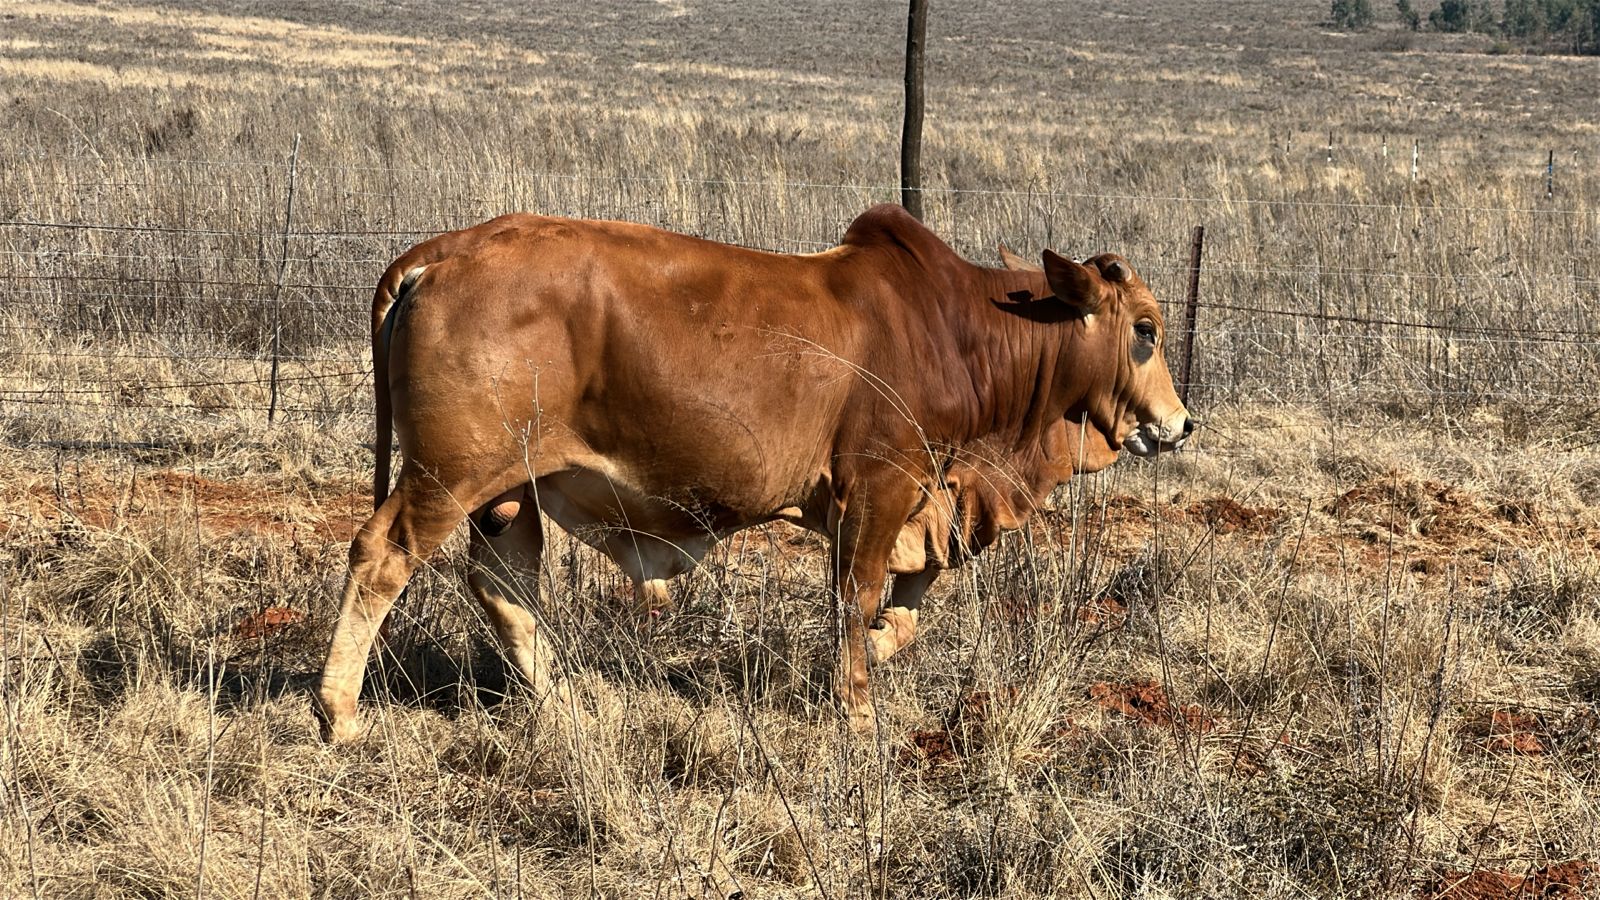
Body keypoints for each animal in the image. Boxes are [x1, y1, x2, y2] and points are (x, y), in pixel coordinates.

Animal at [314, 204, 1192, 742]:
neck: (958, 328)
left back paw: (564, 701)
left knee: (503, 583)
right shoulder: (879, 487)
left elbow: (901, 608)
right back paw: (340, 712)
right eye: (1146, 329)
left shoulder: (919, 502)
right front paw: (857, 712)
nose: (1181, 423)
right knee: (383, 557)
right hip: (447, 475)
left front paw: (881, 649)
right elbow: (856, 600)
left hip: (509, 492)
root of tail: (436, 255)